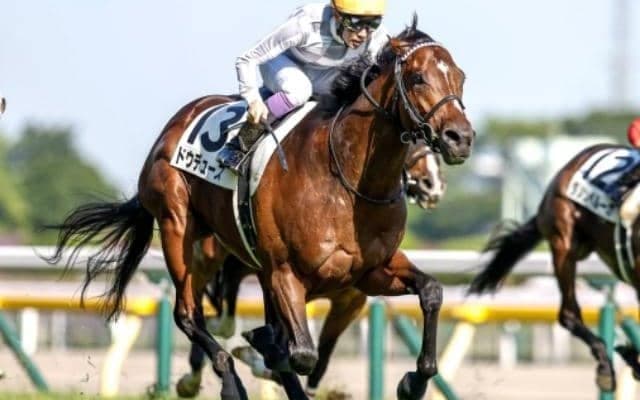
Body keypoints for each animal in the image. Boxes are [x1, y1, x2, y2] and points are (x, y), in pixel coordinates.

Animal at [175, 142, 447, 398]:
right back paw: (194, 377)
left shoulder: (349, 302)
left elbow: (320, 356)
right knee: (205, 302)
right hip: (207, 259)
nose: (432, 184)